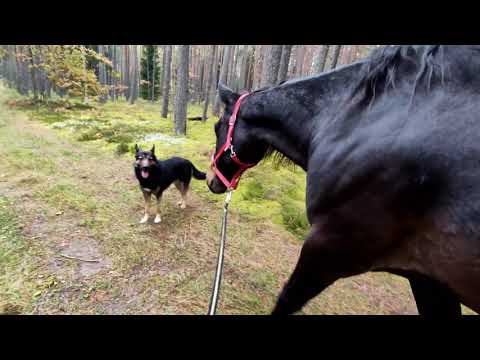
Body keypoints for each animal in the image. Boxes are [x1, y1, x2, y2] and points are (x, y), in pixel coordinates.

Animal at [208, 45, 480, 316]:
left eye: (217, 126)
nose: (211, 179)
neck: (348, 118)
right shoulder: (427, 279)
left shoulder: (328, 248)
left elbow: (285, 301)